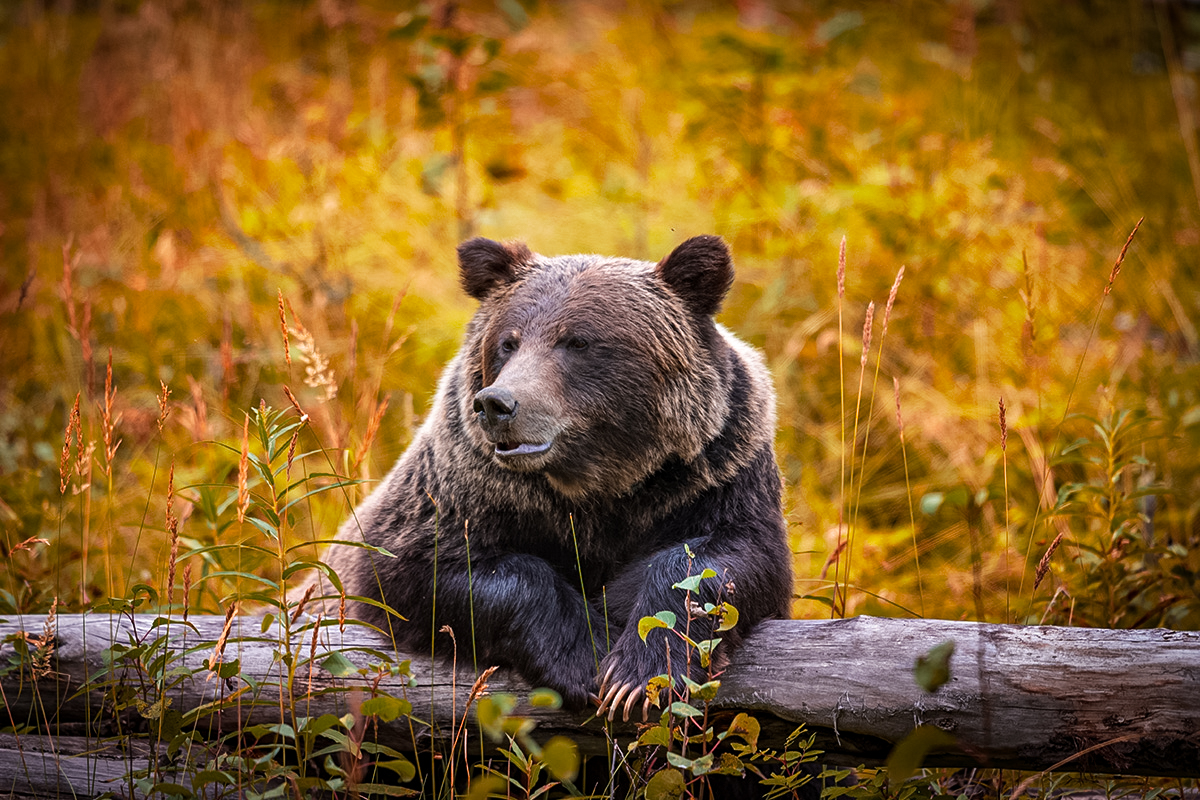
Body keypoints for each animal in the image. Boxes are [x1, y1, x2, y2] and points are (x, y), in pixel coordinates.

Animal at [319, 235, 792, 714]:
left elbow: (725, 559)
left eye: (577, 341)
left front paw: (637, 673)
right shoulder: (462, 492)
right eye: (508, 342)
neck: (597, 484)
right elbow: (420, 567)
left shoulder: (716, 475)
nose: (497, 404)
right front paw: (587, 655)